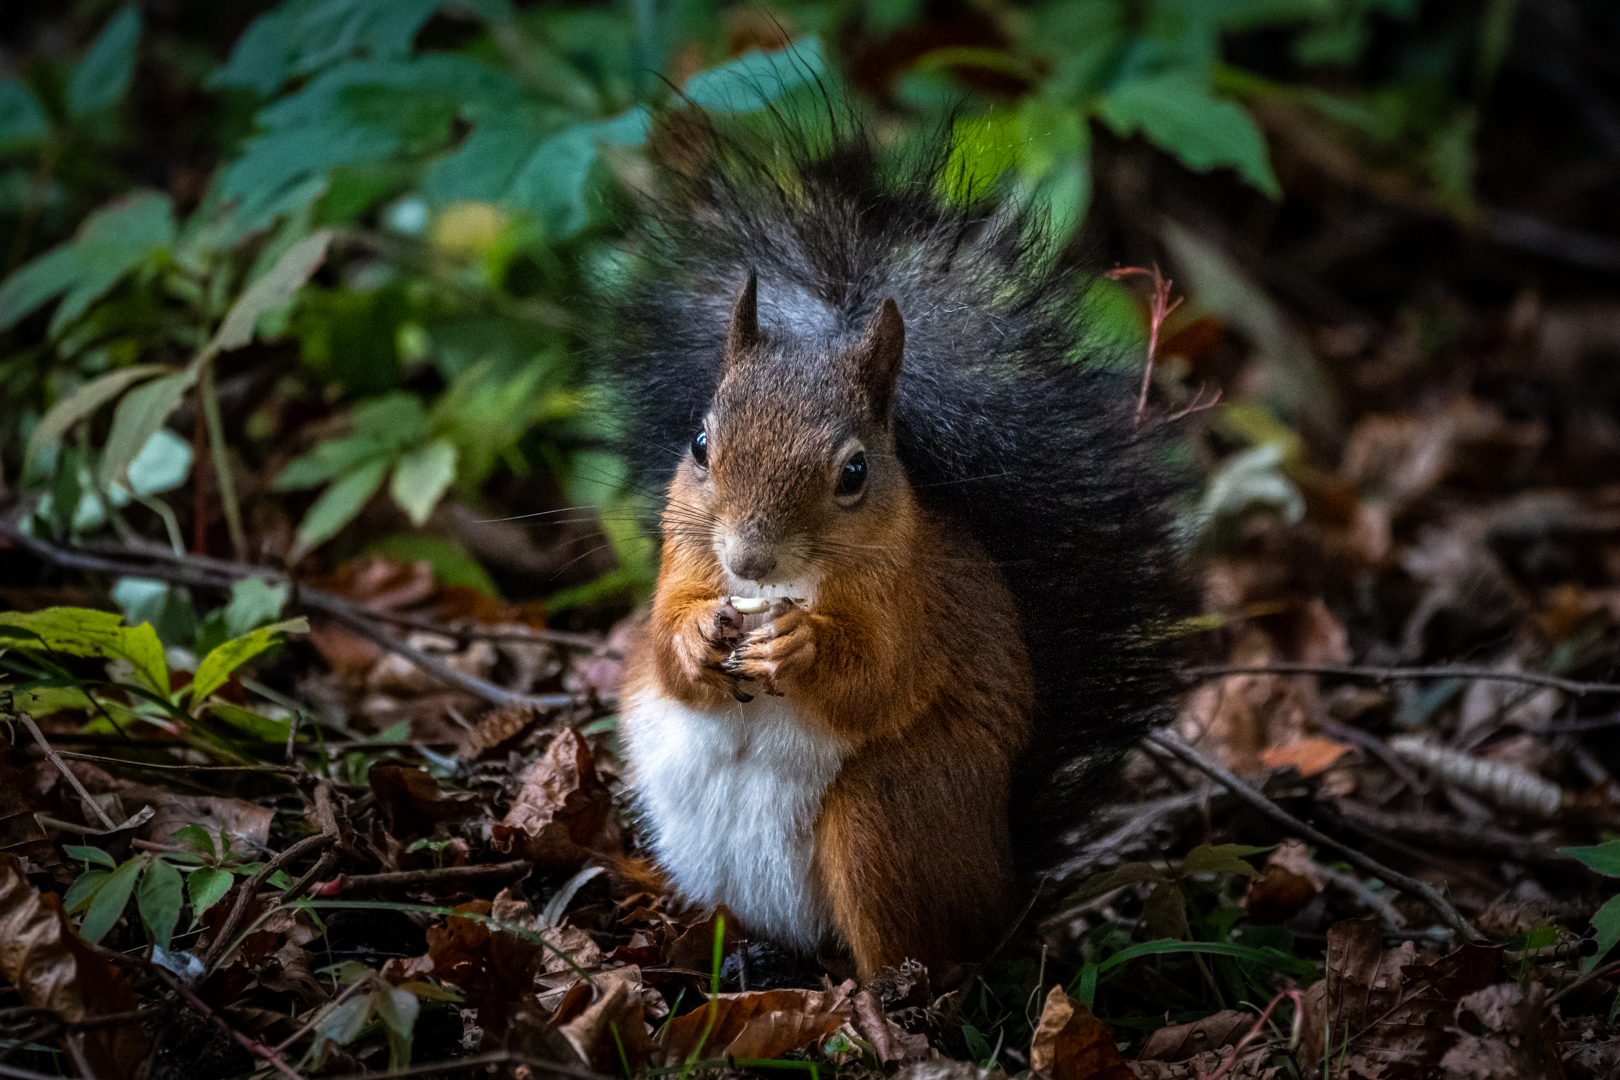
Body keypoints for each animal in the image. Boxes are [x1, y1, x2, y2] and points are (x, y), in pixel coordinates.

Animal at [602, 110, 1185, 977]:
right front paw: (703, 634)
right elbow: (667, 650)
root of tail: (1005, 887)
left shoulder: (917, 606)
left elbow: (880, 681)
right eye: (701, 443)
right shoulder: (683, 564)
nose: (748, 560)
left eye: (854, 472)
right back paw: (746, 958)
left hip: (887, 815)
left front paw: (802, 647)